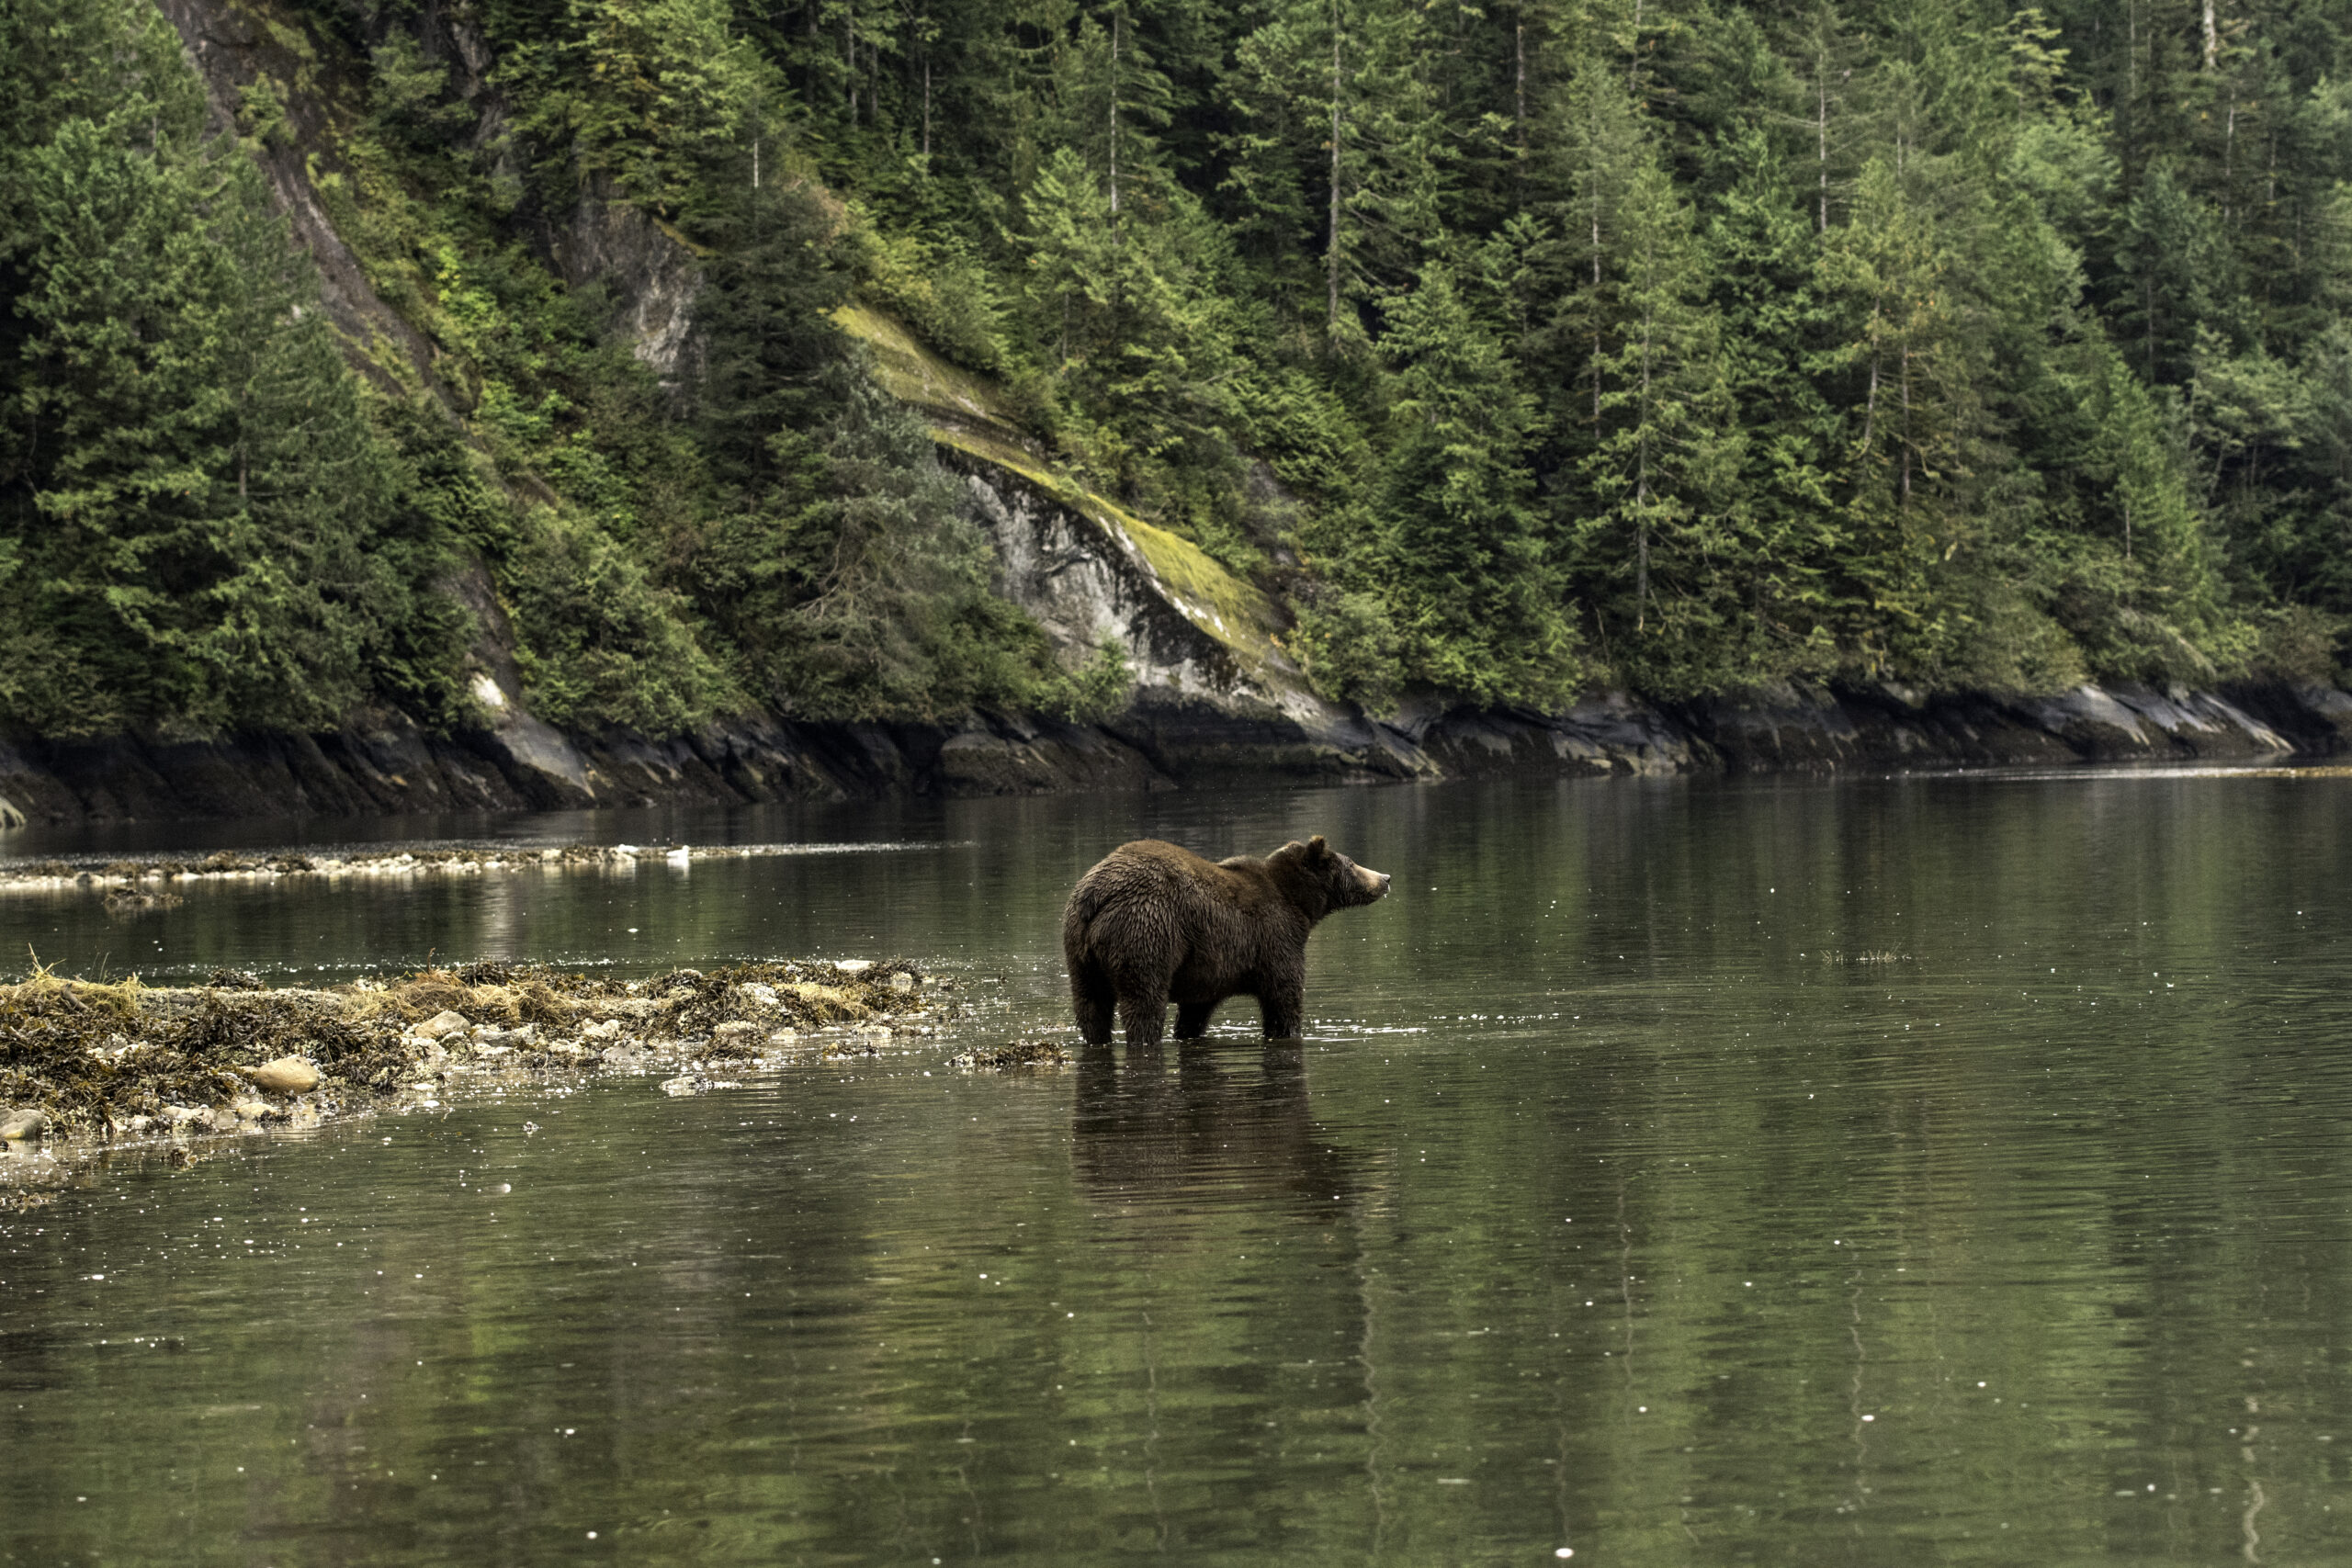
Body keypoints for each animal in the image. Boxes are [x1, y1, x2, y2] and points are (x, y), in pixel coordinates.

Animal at [1062, 835, 1392, 1048]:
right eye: (1351, 864)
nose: (1385, 878)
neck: (1299, 903)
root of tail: (1097, 892)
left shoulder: (1210, 966)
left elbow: (1196, 1009)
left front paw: (1187, 1031)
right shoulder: (1274, 936)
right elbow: (1283, 993)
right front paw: (1288, 1030)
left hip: (1078, 948)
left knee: (1090, 1004)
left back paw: (1097, 1039)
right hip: (1147, 929)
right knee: (1143, 998)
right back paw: (1144, 1037)